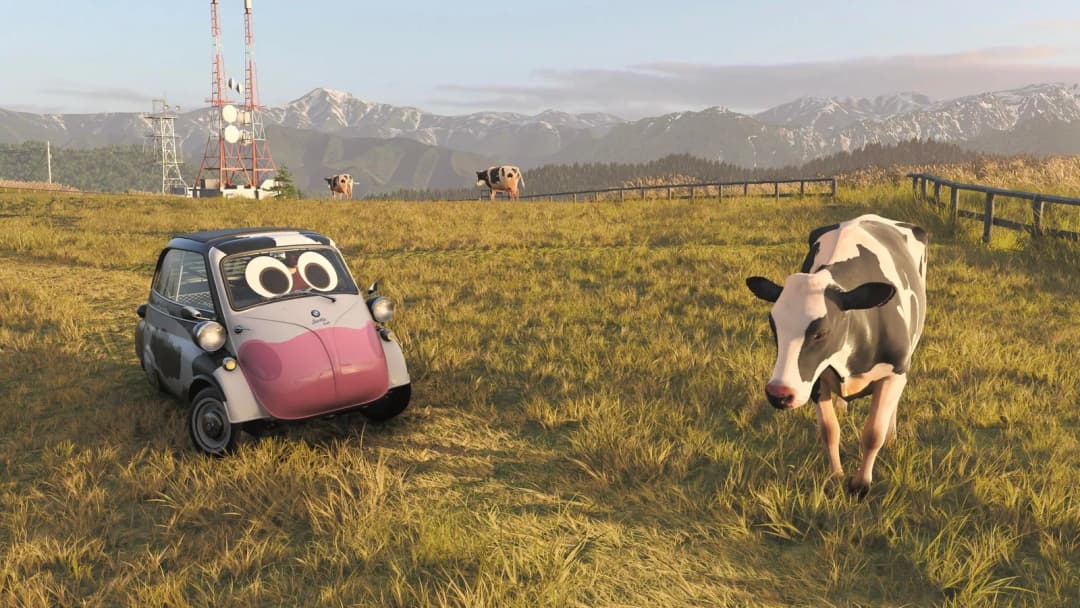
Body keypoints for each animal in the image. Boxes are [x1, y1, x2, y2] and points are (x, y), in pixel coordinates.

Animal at [744, 214, 927, 498]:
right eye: (774, 325)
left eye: (821, 333)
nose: (779, 394)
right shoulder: (816, 380)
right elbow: (829, 431)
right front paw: (837, 476)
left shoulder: (895, 370)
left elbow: (873, 433)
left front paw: (861, 484)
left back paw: (892, 434)